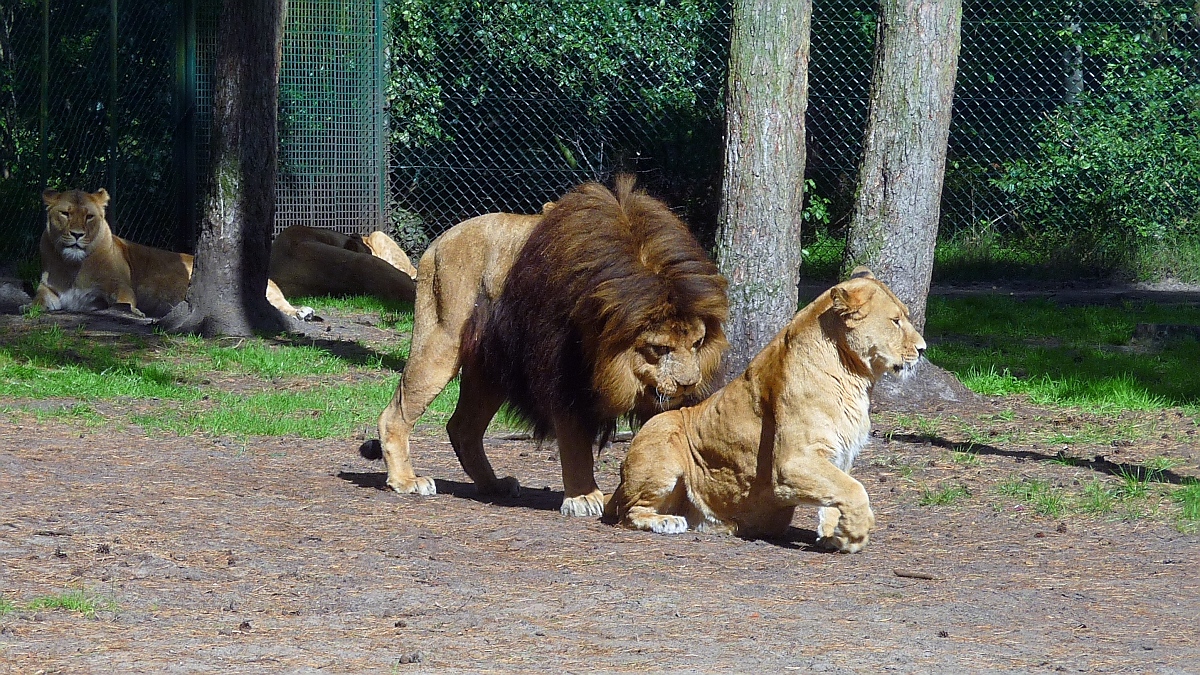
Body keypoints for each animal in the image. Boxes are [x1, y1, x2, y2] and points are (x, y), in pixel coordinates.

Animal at [362, 177, 729, 514]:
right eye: (658, 348)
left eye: (697, 343)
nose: (688, 384)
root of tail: (439, 241)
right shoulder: (562, 371)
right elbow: (575, 441)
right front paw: (583, 496)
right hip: (441, 339)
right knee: (396, 413)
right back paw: (406, 480)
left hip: (489, 368)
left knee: (463, 427)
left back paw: (493, 485)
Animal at [609, 267, 926, 552]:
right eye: (896, 321)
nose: (923, 349)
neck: (855, 377)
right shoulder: (791, 462)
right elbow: (854, 489)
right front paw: (855, 534)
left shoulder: (839, 454)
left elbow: (837, 492)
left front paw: (833, 535)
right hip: (662, 432)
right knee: (628, 513)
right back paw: (666, 521)